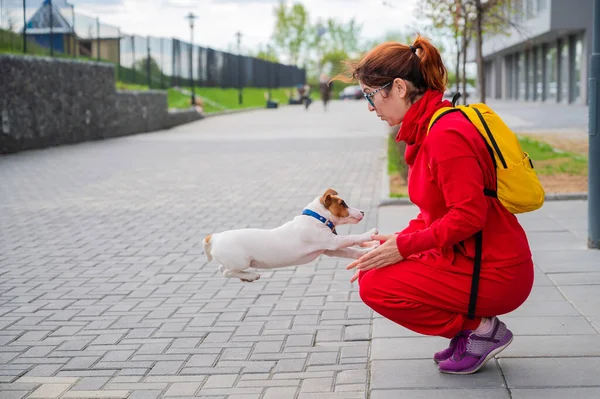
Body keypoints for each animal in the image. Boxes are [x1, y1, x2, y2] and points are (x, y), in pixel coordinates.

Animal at [204, 189, 378, 282]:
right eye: (343, 204)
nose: (362, 212)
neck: (317, 218)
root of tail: (214, 237)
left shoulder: (330, 249)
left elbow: (353, 251)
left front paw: (369, 251)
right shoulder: (333, 242)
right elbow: (352, 237)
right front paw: (370, 233)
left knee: (222, 269)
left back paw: (246, 277)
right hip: (241, 261)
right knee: (226, 272)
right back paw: (252, 275)